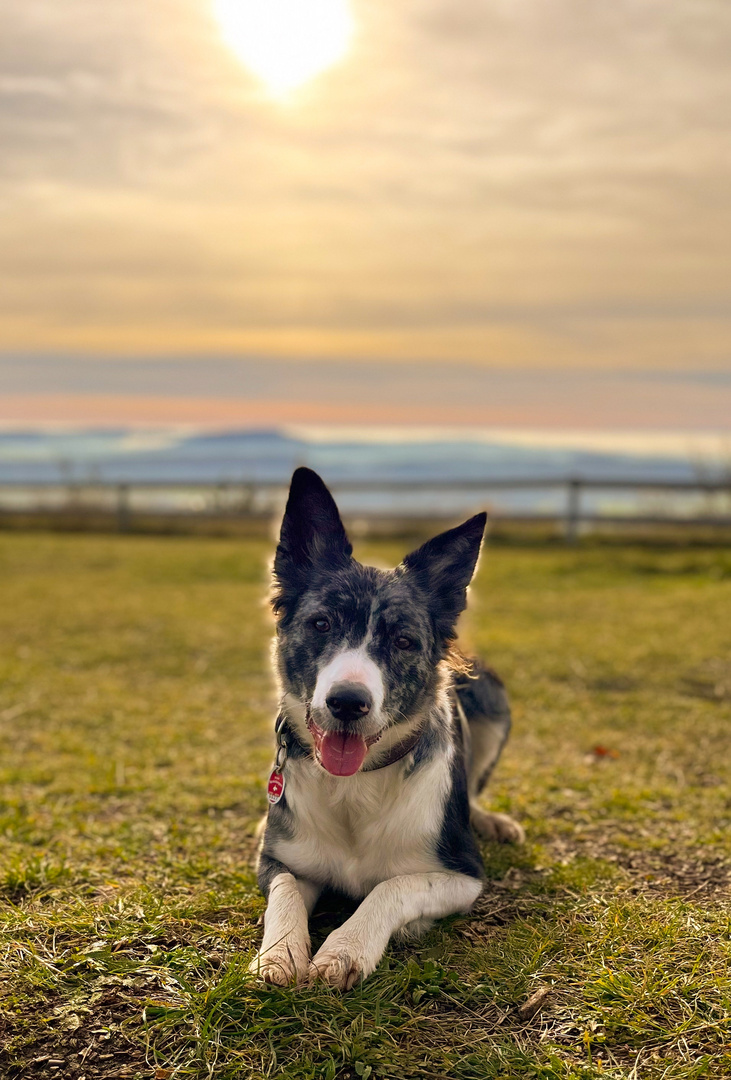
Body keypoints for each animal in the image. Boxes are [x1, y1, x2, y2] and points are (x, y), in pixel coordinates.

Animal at [248, 468, 522, 989]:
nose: (347, 703)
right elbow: (286, 891)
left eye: (403, 641)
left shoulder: (463, 875)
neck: (355, 784)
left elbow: (394, 886)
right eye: (321, 623)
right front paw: (279, 953)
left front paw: (346, 949)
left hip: (494, 698)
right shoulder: (277, 862)